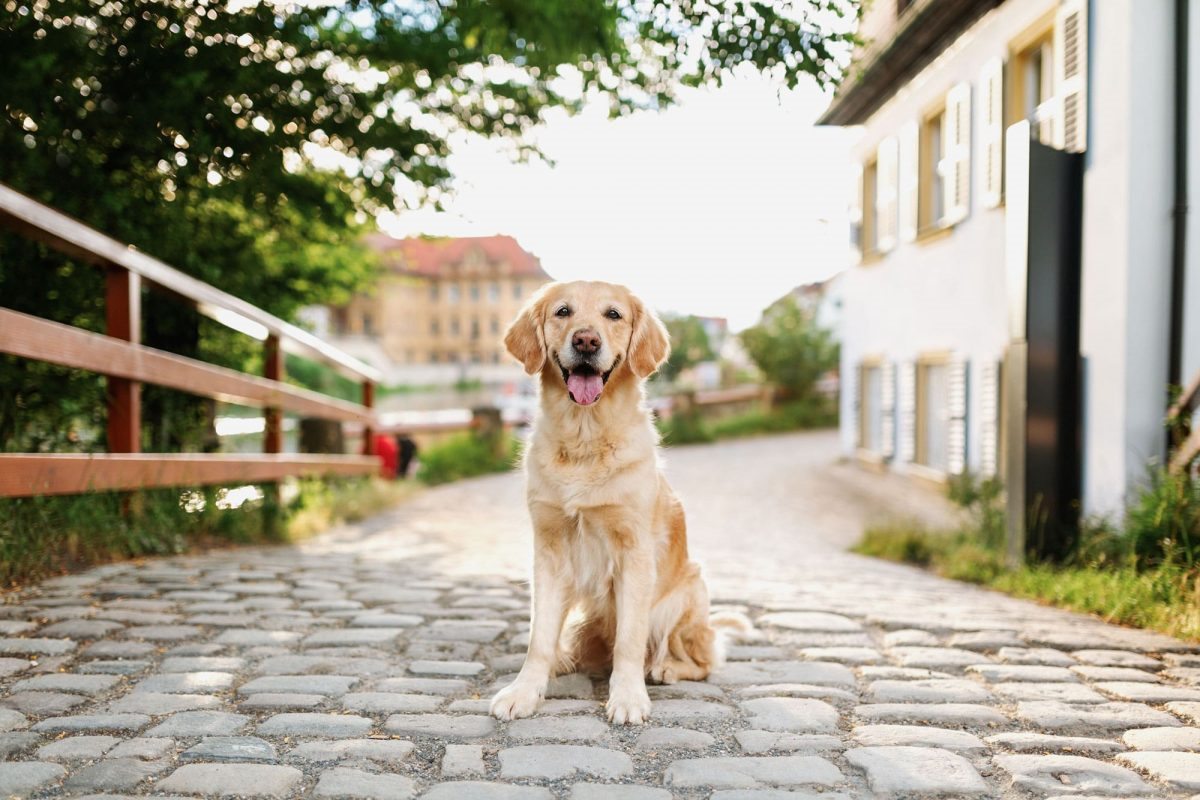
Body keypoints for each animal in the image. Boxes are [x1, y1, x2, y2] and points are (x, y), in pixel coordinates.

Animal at [489, 280, 729, 724]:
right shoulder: (549, 549)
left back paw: (666, 668)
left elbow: (630, 639)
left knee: (702, 660)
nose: (586, 340)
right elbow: (538, 637)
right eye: (563, 311)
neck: (585, 438)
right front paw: (525, 691)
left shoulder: (634, 552)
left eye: (613, 315)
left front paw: (629, 696)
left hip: (685, 599)